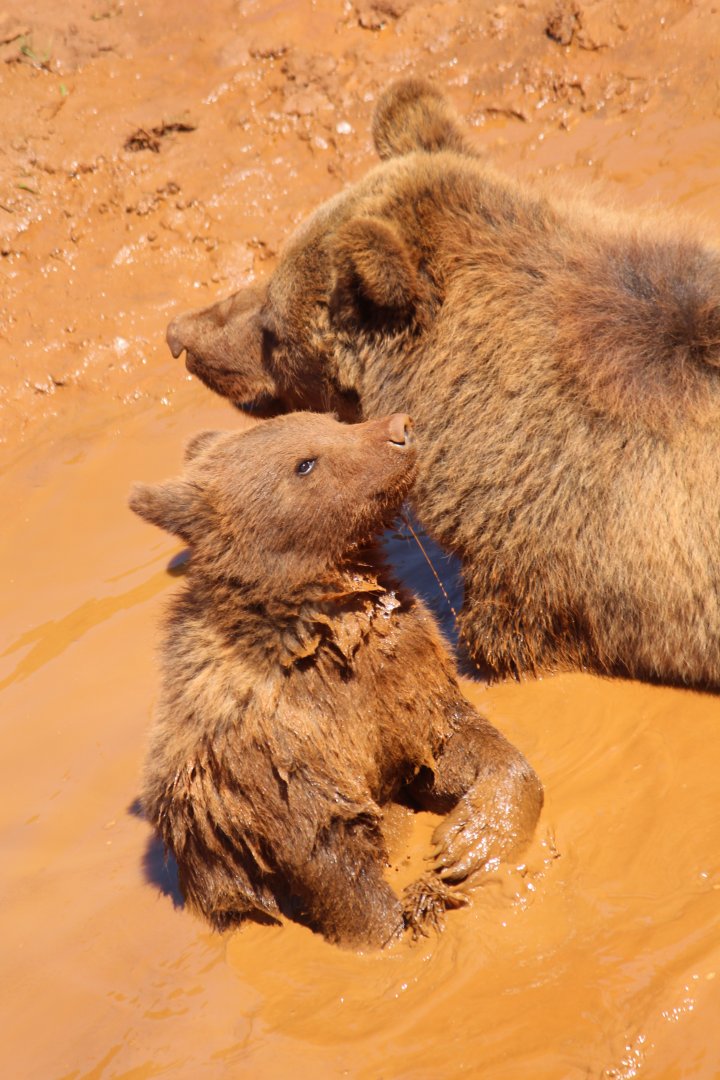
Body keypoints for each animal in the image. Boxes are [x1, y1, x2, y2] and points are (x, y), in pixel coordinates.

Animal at [129, 411, 543, 948]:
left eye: (328, 420)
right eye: (305, 463)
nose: (399, 428)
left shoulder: (399, 681)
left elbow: (457, 746)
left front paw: (467, 845)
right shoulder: (273, 757)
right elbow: (332, 861)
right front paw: (403, 925)